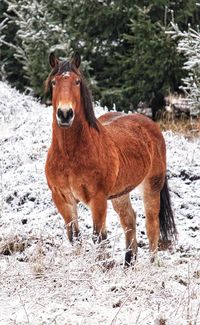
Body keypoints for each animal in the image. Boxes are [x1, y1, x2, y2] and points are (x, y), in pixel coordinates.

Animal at [45, 50, 177, 264]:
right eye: (54, 82)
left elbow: (99, 237)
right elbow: (75, 237)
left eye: (77, 82)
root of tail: (150, 124)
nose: (65, 114)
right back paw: (128, 263)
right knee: (129, 220)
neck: (69, 155)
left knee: (151, 226)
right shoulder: (62, 198)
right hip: (120, 194)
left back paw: (152, 264)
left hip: (152, 186)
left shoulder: (98, 199)